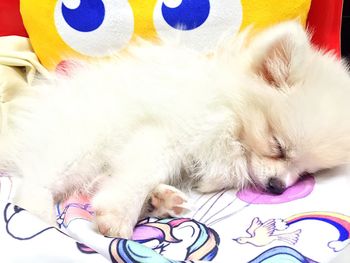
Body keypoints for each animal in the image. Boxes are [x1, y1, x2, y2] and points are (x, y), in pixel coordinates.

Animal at [0, 21, 350, 238]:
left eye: (307, 173)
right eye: (277, 145)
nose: (278, 187)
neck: (230, 111)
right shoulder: (167, 132)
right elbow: (141, 174)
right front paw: (118, 217)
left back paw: (164, 200)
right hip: (81, 146)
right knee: (34, 184)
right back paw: (45, 217)